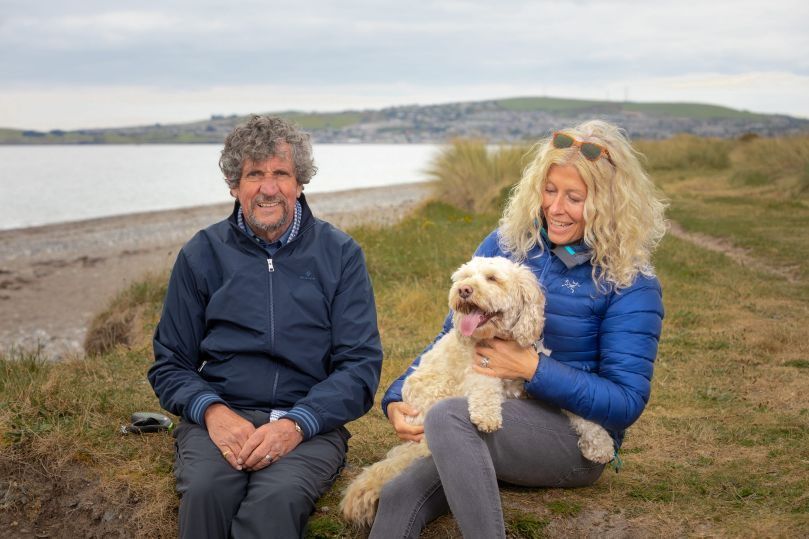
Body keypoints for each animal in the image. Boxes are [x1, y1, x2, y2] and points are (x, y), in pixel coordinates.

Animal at [338, 258, 608, 528]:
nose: (463, 290)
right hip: (436, 393)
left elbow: (577, 407)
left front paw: (600, 442)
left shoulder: (535, 385)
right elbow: (485, 384)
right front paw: (487, 416)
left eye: (492, 278)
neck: (498, 338)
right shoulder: (477, 370)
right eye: (465, 277)